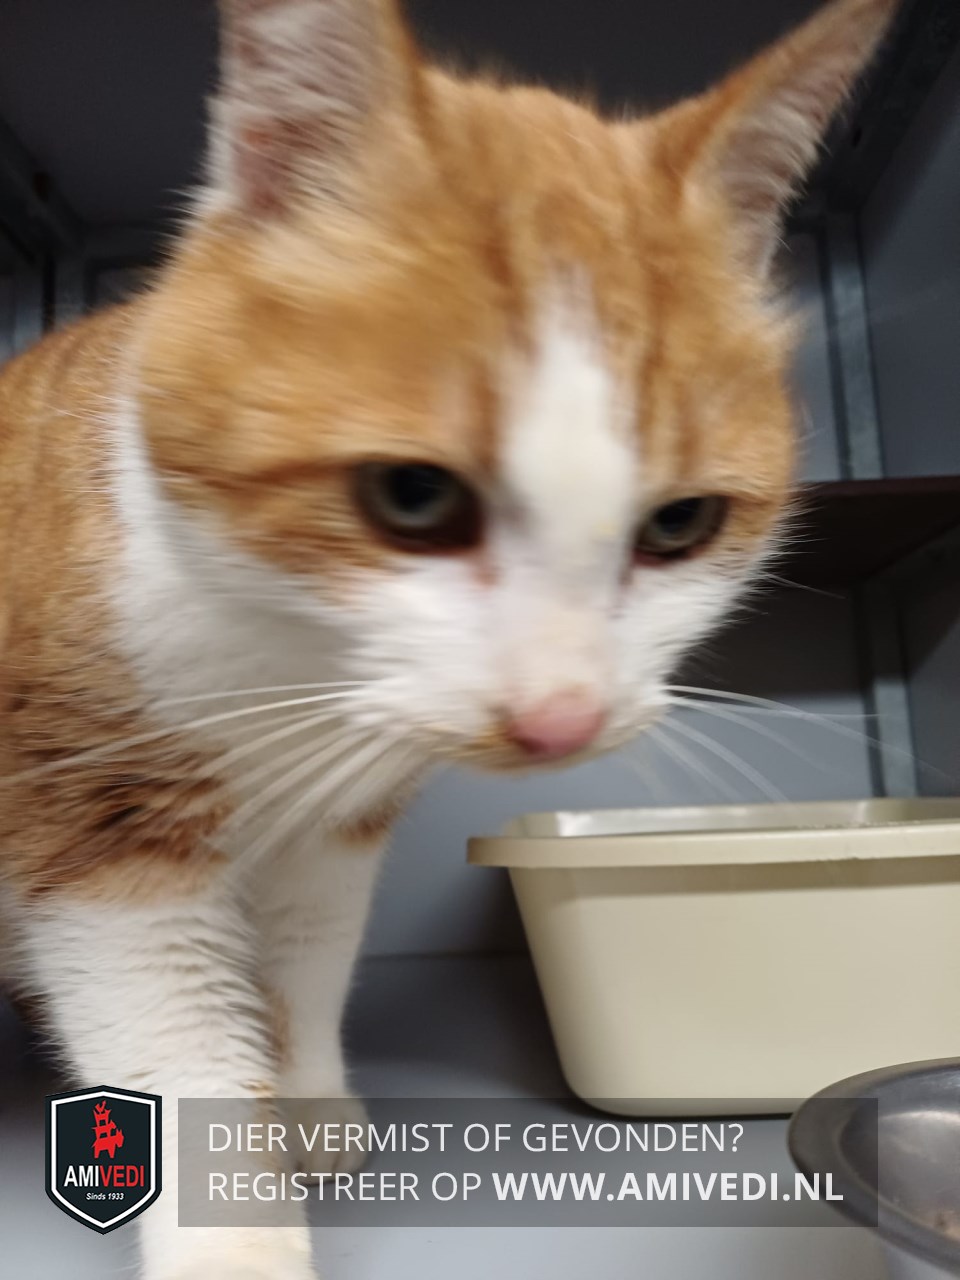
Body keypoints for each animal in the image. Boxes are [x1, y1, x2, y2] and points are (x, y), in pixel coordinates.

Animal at [0, 0, 897, 1275]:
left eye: (681, 523)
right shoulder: (96, 827)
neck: (289, 667)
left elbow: (310, 959)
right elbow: (178, 1039)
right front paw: (240, 1240)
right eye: (411, 497)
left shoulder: (337, 830)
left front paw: (310, 1108)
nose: (563, 715)